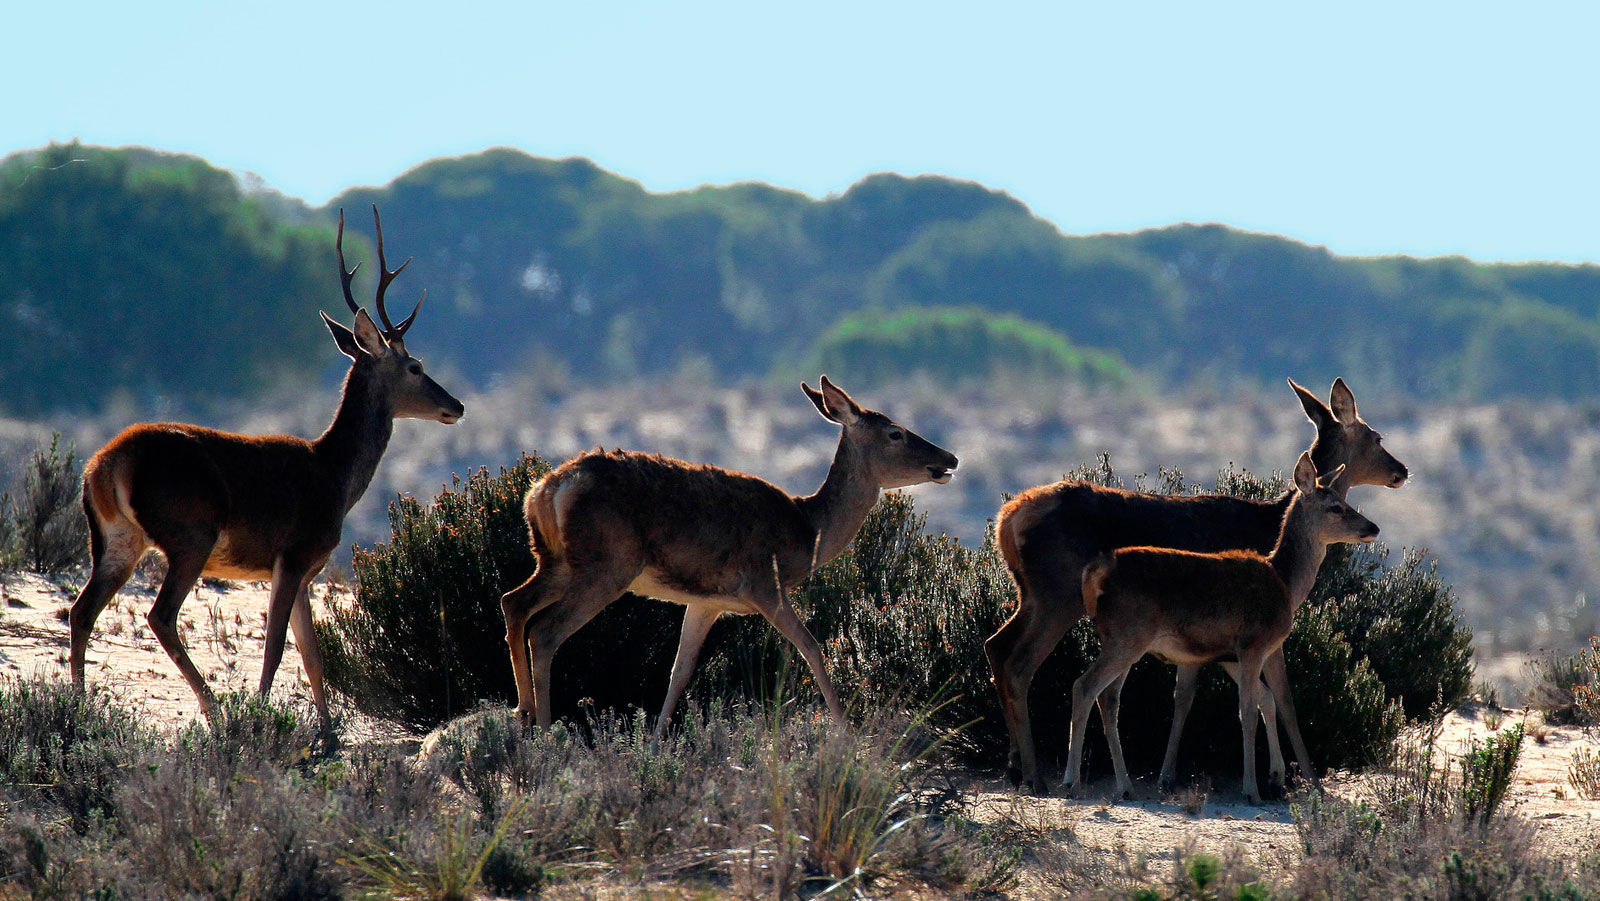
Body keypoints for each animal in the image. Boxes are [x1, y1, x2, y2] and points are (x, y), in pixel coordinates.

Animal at [72, 208, 460, 729]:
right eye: (416, 366)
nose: (456, 406)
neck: (335, 476)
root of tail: (104, 466)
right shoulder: (293, 553)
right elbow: (277, 649)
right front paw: (264, 716)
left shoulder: (306, 570)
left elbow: (312, 654)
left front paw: (328, 734)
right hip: (190, 532)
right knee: (160, 615)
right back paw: (216, 711)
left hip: (117, 538)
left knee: (81, 611)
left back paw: (77, 706)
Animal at [499, 377, 953, 736]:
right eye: (895, 433)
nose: (950, 459)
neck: (807, 532)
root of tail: (547, 489)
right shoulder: (764, 583)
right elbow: (812, 648)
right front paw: (848, 736)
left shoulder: (707, 602)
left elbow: (679, 670)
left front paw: (656, 744)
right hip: (606, 566)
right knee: (545, 631)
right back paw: (545, 731)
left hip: (556, 560)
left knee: (513, 602)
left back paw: (523, 713)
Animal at [1062, 454, 1376, 806]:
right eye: (1335, 507)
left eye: (1345, 500)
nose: (1372, 528)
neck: (1284, 582)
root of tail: (1097, 573)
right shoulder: (1254, 644)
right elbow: (1251, 710)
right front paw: (1255, 789)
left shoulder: (1244, 653)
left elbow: (1277, 702)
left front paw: (1286, 779)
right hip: (1126, 637)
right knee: (1084, 687)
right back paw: (1072, 782)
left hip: (1124, 642)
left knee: (1108, 697)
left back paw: (1124, 785)